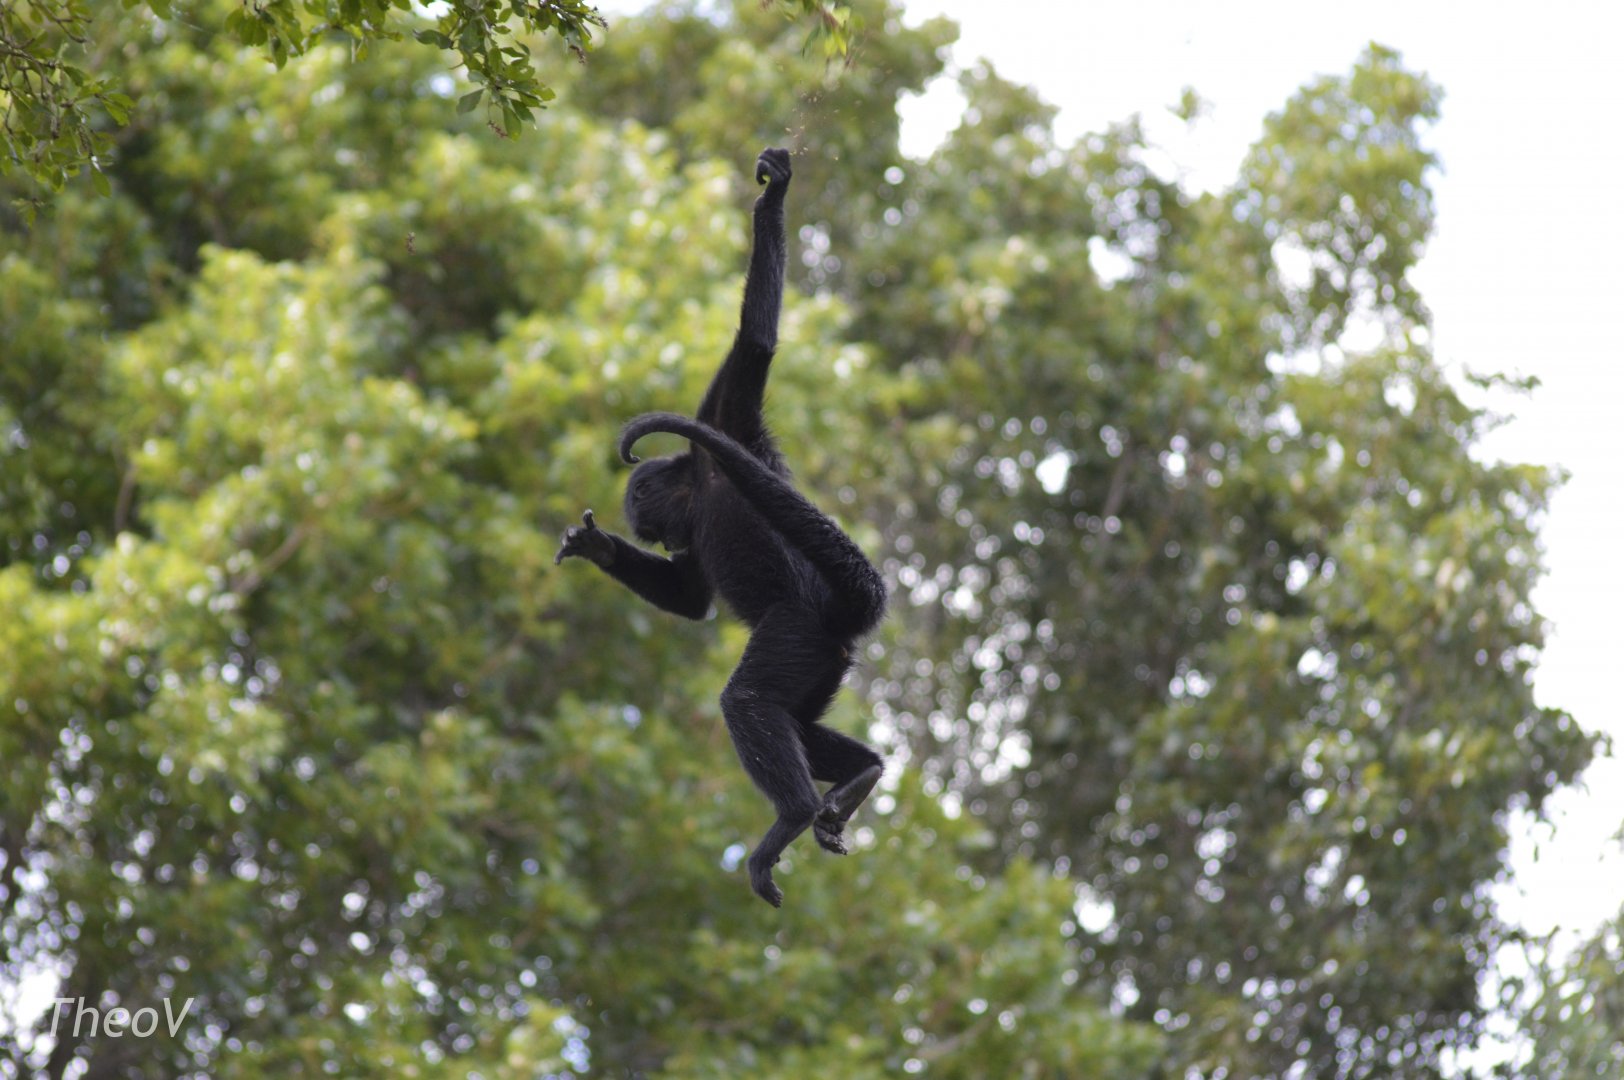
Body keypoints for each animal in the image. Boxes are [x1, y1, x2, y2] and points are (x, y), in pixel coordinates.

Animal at [555, 147, 886, 907]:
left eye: (651, 517)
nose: (657, 533)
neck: (703, 486)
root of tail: (839, 606)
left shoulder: (723, 420)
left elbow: (755, 344)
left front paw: (772, 201)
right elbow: (690, 598)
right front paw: (594, 546)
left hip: (797, 632)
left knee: (749, 699)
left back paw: (792, 816)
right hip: (826, 661)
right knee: (797, 717)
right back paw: (863, 773)